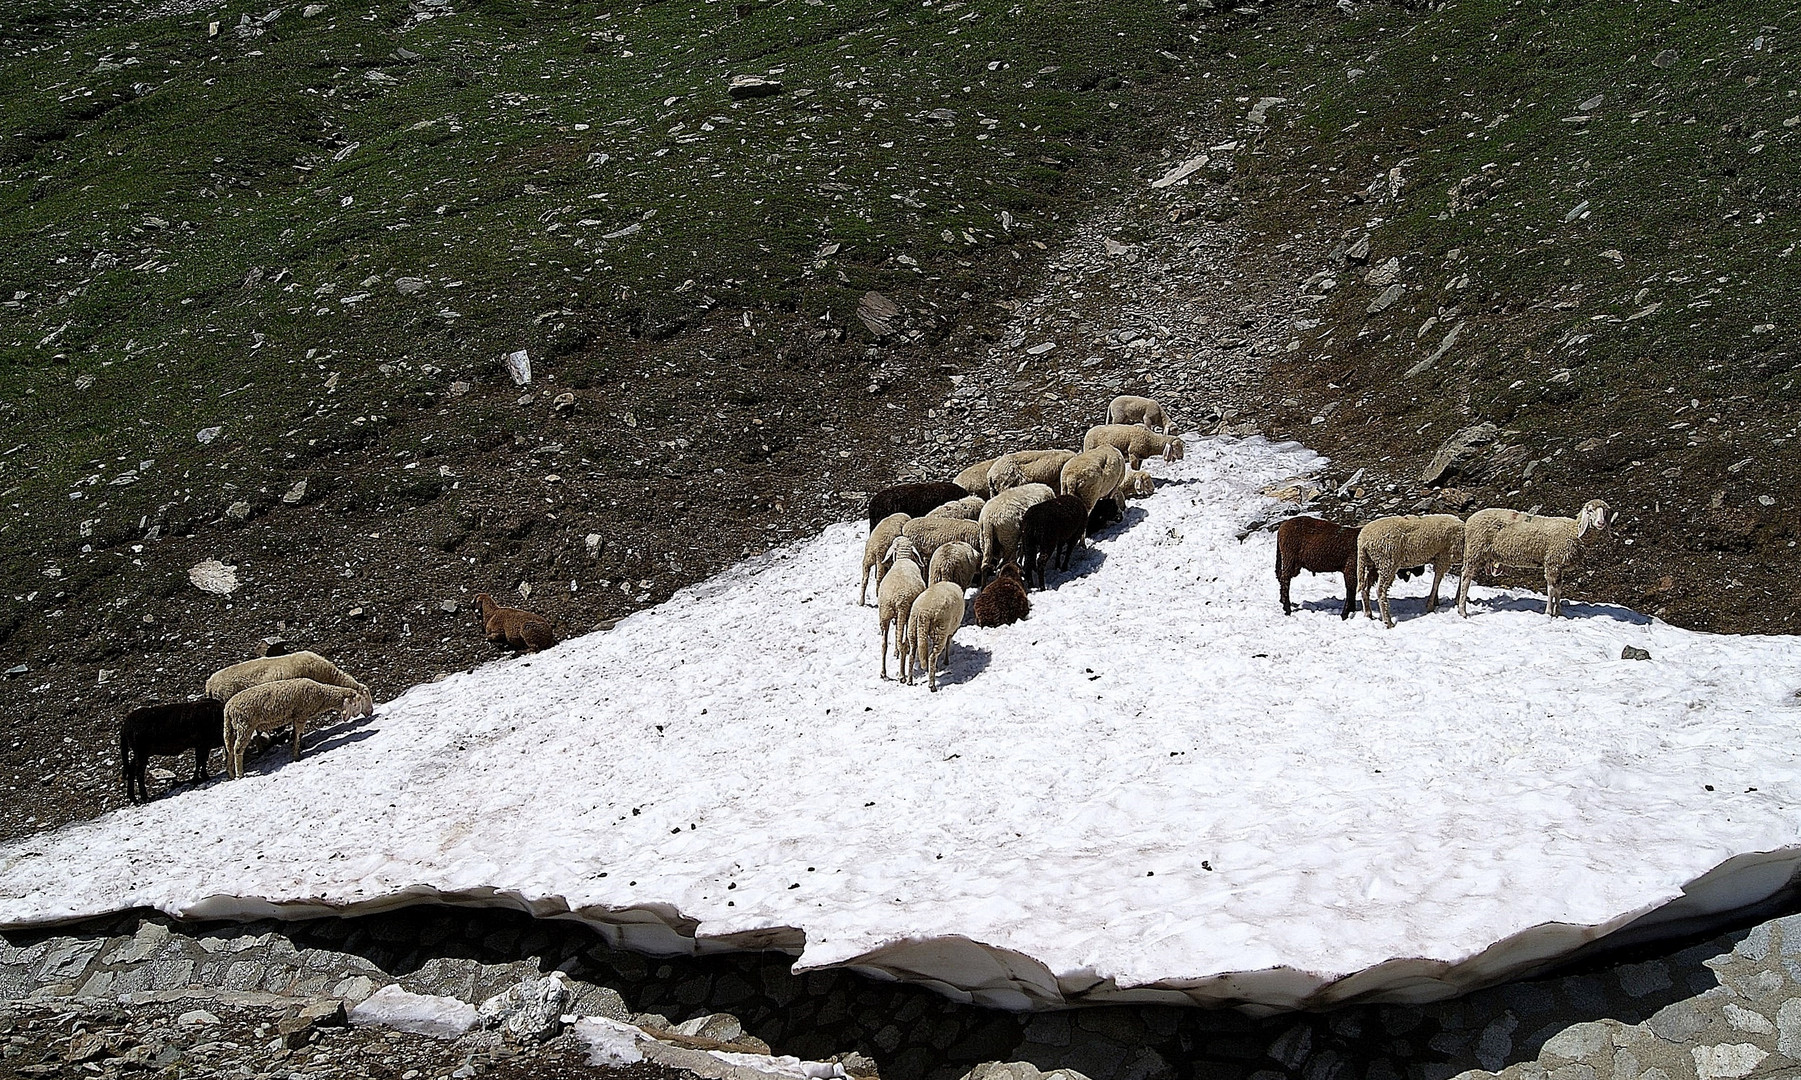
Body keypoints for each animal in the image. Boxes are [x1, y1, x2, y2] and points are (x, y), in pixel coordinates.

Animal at [221, 676, 362, 777]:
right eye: (356, 703)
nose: (357, 715)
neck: (321, 694)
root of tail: (228, 708)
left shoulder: (296, 717)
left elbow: (295, 735)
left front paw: (296, 751)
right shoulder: (301, 715)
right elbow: (298, 735)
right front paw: (296, 756)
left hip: (232, 728)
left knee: (229, 750)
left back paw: (232, 774)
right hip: (244, 726)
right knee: (238, 749)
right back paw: (240, 774)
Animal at [875, 536, 929, 680]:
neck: (903, 558)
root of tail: (898, 599)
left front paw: (895, 653)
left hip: (885, 614)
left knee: (884, 643)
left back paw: (883, 673)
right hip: (906, 613)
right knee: (904, 643)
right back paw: (902, 675)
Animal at [1455, 496, 1613, 615]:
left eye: (1605, 512)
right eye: (1590, 511)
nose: (1600, 522)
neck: (1574, 530)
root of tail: (1469, 520)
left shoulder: (1559, 566)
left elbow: (1558, 589)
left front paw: (1559, 611)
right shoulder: (1552, 563)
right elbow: (1551, 589)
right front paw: (1549, 612)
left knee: (1463, 575)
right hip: (1475, 550)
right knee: (1466, 578)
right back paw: (1462, 610)